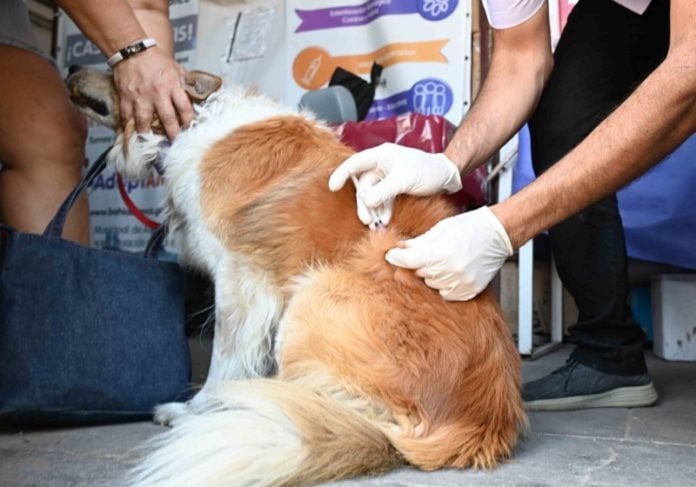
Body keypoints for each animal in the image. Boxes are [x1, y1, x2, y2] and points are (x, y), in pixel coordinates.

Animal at [68, 67, 524, 487]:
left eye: (118, 72)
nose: (71, 68)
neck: (195, 121)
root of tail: (480, 426)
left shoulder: (239, 282)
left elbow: (224, 361)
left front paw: (195, 409)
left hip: (312, 297)